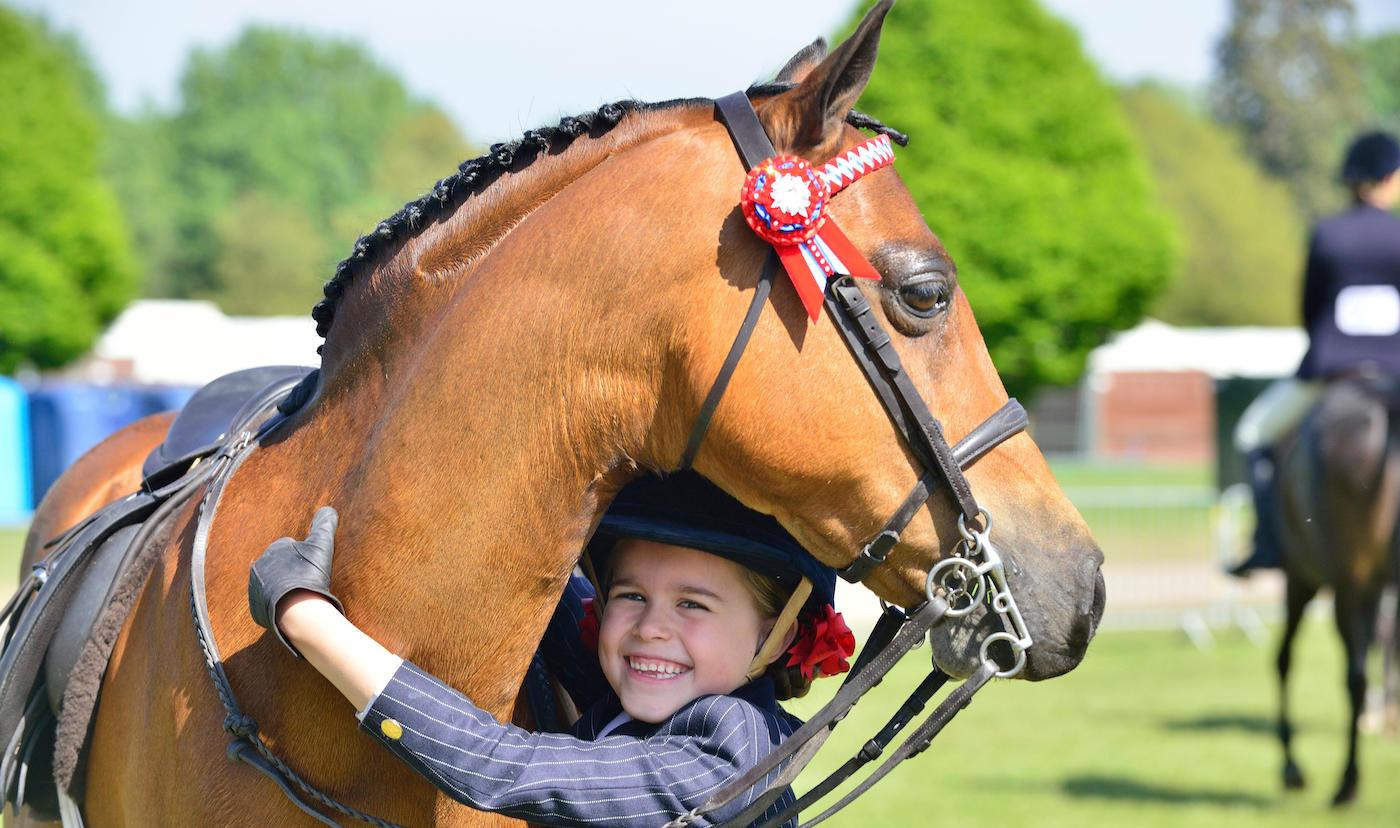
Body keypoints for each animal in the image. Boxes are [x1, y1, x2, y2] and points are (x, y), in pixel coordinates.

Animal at [1273, 372, 1400, 806]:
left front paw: (1292, 768)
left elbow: (1284, 660)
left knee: (1354, 677)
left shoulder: (1302, 579)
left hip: (1341, 584)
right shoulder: (1374, 587)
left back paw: (1348, 781)